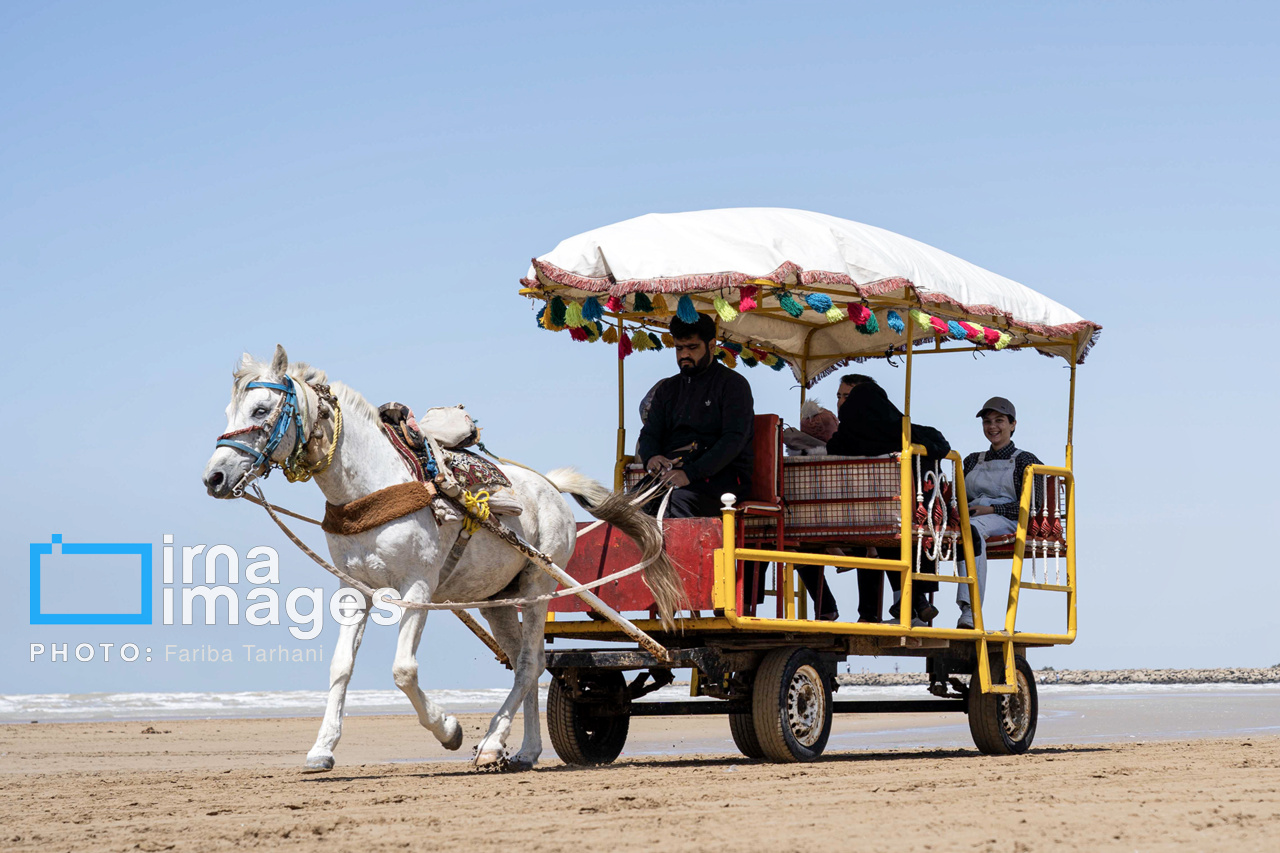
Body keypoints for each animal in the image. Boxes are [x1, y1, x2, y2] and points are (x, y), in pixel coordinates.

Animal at [199, 343, 680, 768]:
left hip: (537, 587)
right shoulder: (355, 589)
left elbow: (403, 669)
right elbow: (340, 667)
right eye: (228, 412)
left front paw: (449, 730)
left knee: (529, 663)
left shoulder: (417, 587)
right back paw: (523, 750)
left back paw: (492, 743)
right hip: (497, 599)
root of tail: (550, 485)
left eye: (261, 411)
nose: (214, 477)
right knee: (530, 665)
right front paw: (322, 749)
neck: (373, 486)